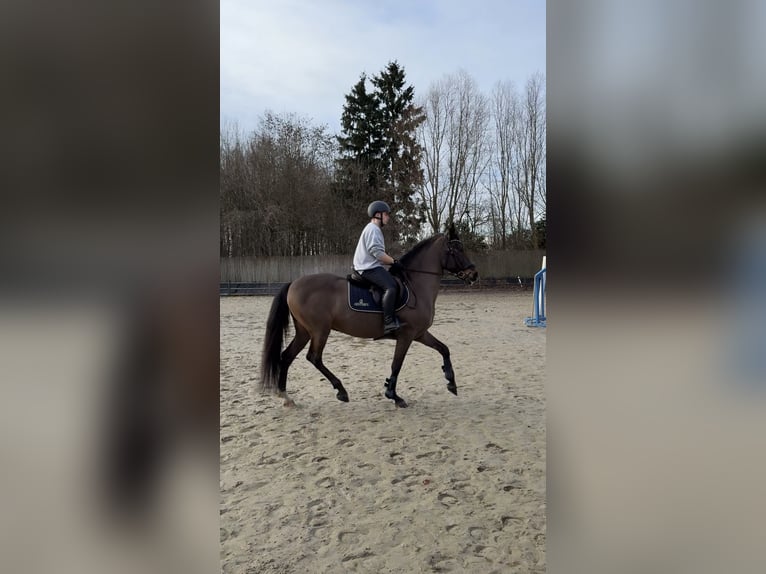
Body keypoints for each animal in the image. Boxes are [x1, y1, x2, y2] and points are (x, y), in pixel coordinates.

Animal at [259, 226, 479, 408]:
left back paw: (286, 397)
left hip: (304, 332)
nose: (474, 274)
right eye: (456, 251)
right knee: (314, 357)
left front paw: (451, 382)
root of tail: (294, 283)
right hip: (320, 331)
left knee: (287, 356)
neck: (416, 285)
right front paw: (394, 395)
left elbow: (444, 349)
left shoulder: (420, 334)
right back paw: (341, 391)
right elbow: (396, 364)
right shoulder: (407, 336)